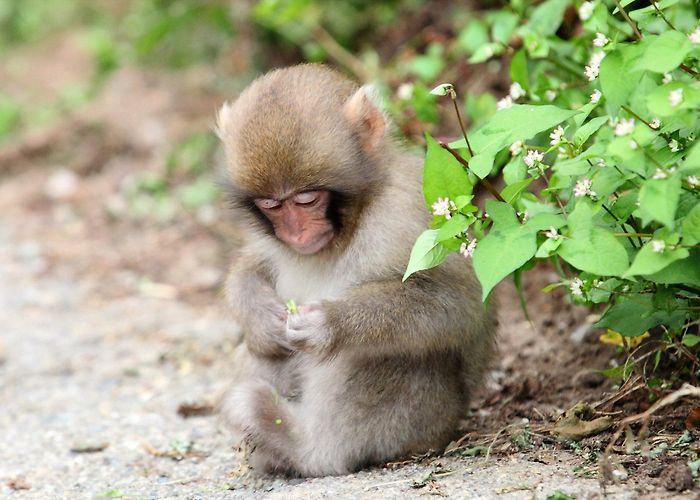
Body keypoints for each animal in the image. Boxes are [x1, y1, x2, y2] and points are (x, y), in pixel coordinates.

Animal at [216, 64, 497, 477]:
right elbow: (252, 264)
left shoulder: (405, 214)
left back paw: (304, 447)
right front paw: (262, 318)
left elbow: (458, 305)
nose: (296, 233)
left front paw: (330, 323)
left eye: (307, 199)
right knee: (268, 354)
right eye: (271, 205)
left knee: (386, 356)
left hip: (417, 424)